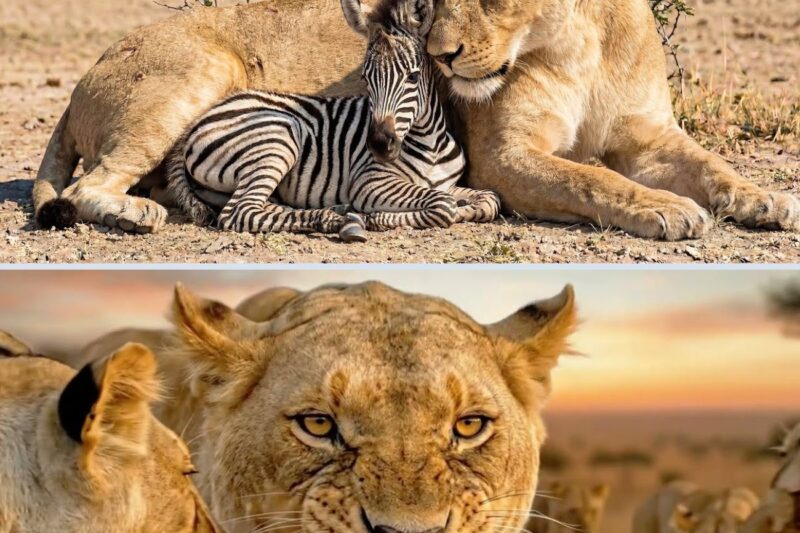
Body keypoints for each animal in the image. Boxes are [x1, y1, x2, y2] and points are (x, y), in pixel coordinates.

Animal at [165, 0, 501, 240]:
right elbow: (442, 206)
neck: (430, 145)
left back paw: (338, 212)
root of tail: (202, 118)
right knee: (240, 212)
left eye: (413, 77)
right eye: (365, 79)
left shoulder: (449, 184)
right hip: (278, 137)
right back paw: (335, 219)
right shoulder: (369, 181)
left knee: (254, 204)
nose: (378, 146)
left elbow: (489, 200)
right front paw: (375, 218)